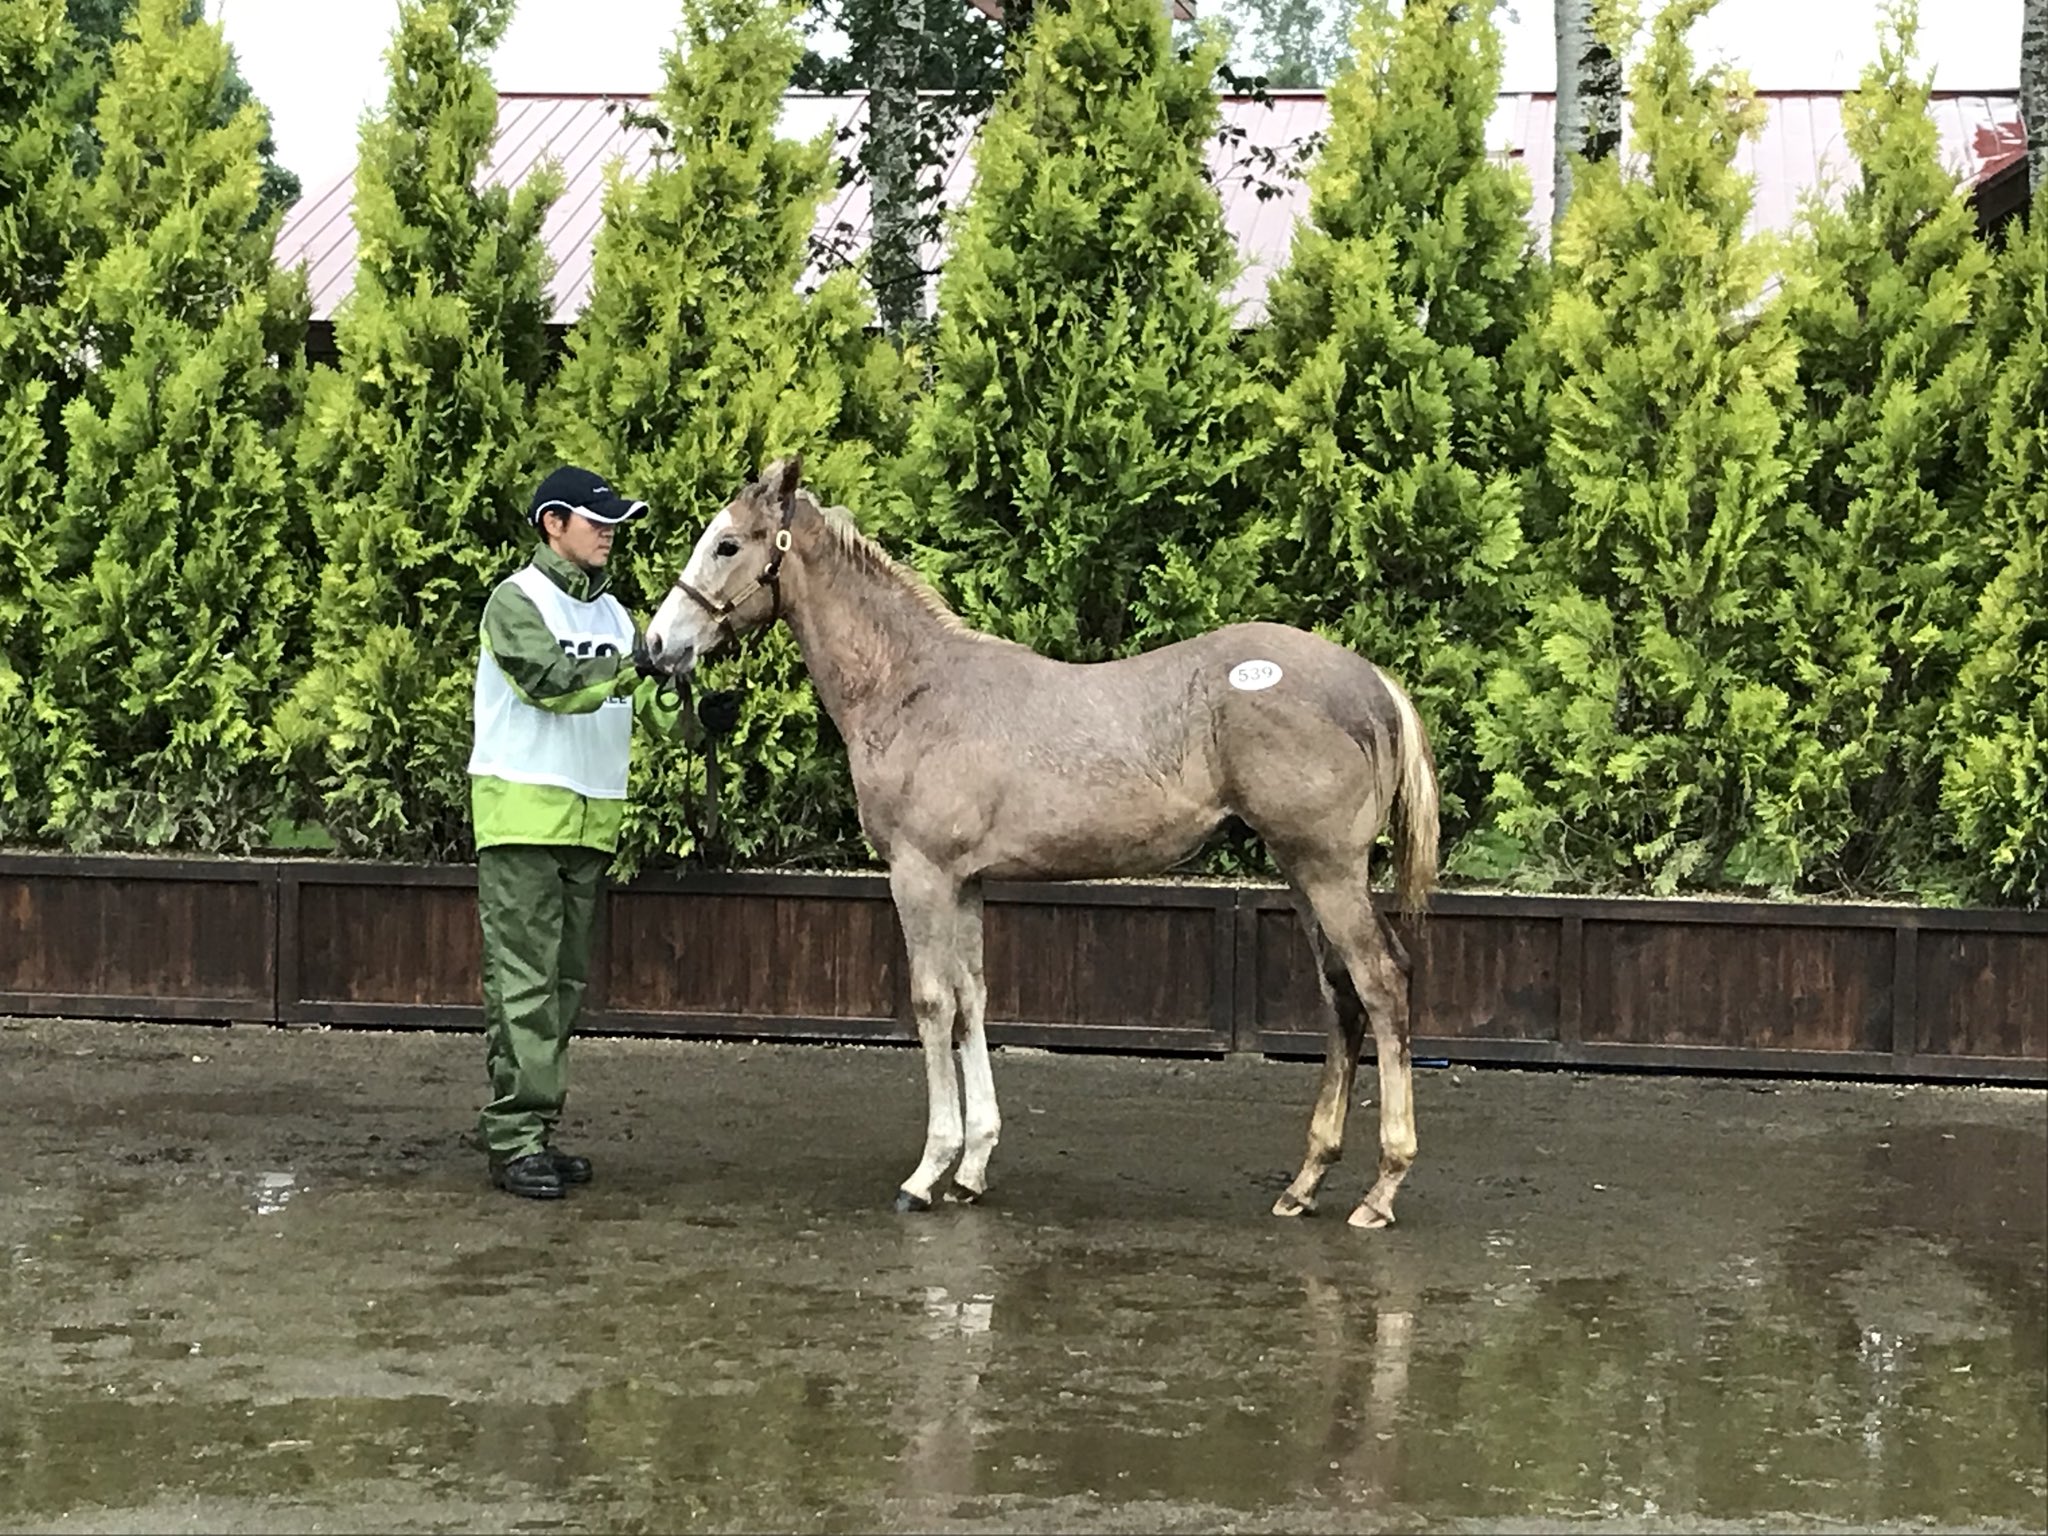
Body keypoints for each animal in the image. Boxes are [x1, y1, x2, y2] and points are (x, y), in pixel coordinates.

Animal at [644, 458, 1441, 1230]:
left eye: (727, 544)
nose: (656, 645)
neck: (914, 689)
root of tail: (1374, 681)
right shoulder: (966, 882)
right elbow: (972, 998)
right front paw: (972, 1167)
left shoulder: (920, 875)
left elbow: (931, 1002)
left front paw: (928, 1172)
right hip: (1299, 871)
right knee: (1340, 997)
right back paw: (1306, 1182)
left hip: (1328, 870)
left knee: (1381, 983)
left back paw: (1383, 1188)